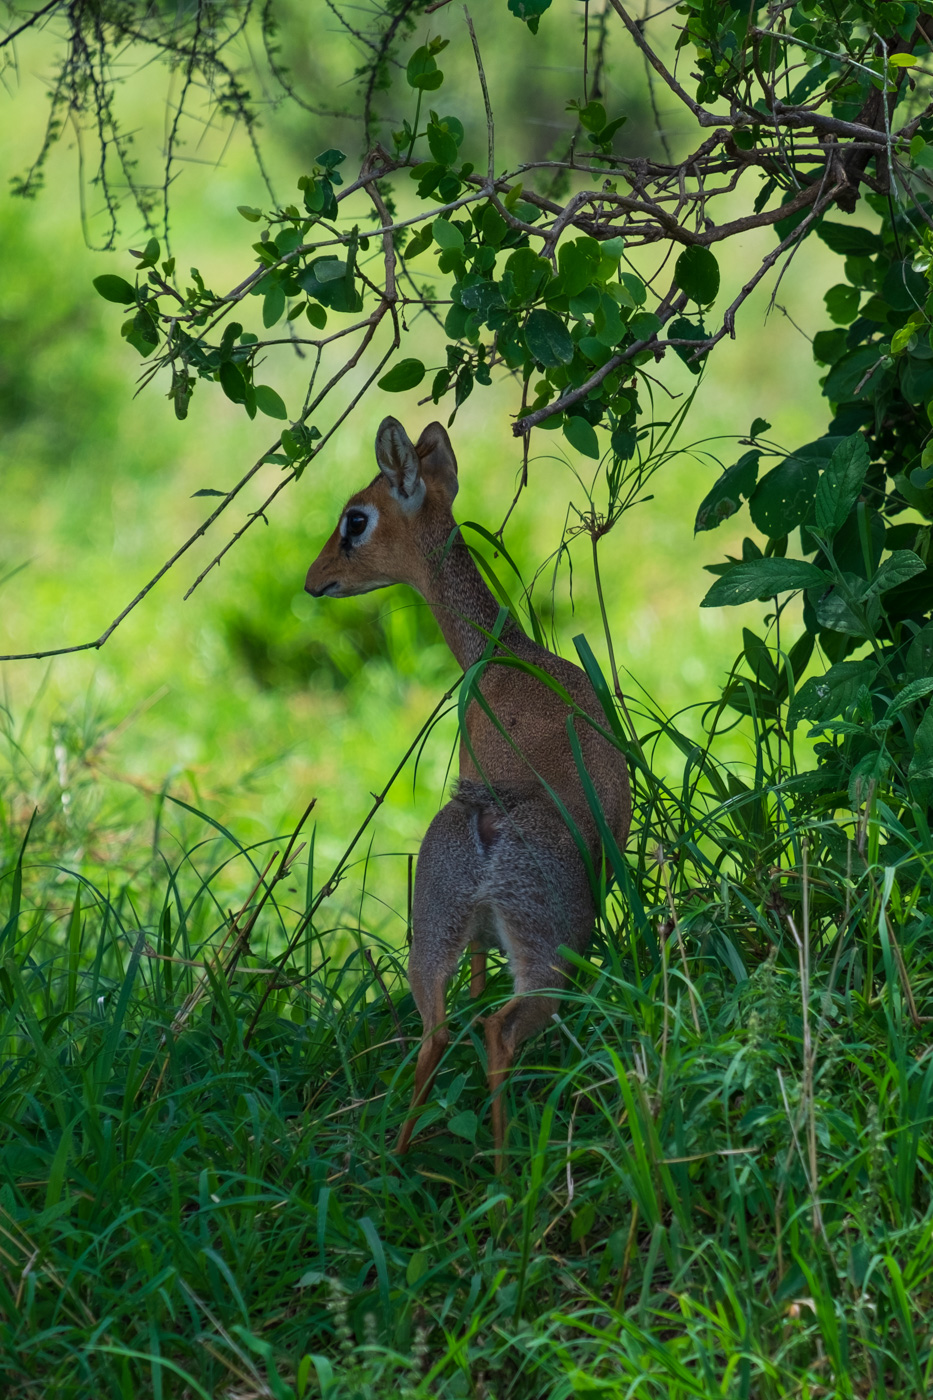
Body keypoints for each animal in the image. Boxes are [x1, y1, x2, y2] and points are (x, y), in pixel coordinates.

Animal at [305, 416, 631, 1171]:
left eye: (355, 519)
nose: (312, 581)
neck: (505, 653)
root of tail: (491, 831)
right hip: (538, 950)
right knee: (489, 1029)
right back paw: (500, 1170)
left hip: (437, 931)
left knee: (448, 1029)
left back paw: (404, 1158)